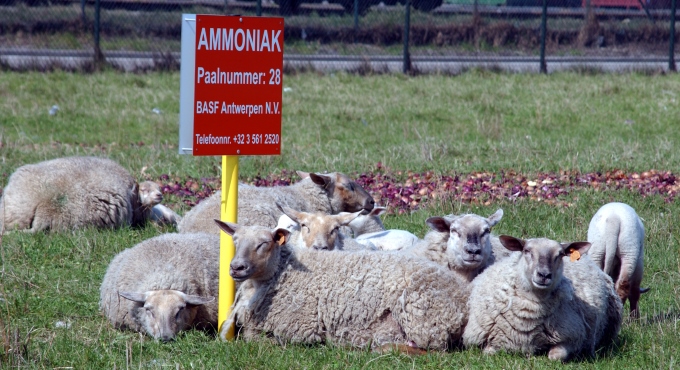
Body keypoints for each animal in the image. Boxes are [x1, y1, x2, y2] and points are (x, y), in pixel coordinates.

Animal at [215, 220, 470, 352]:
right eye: (235, 241)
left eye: (264, 243)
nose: (236, 267)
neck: (281, 272)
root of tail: (464, 298)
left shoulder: (300, 327)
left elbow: (256, 339)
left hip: (424, 321)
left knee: (432, 350)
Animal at [462, 234, 620, 362]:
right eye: (527, 251)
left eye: (560, 254)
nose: (544, 275)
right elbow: (488, 353)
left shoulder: (573, 337)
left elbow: (555, 356)